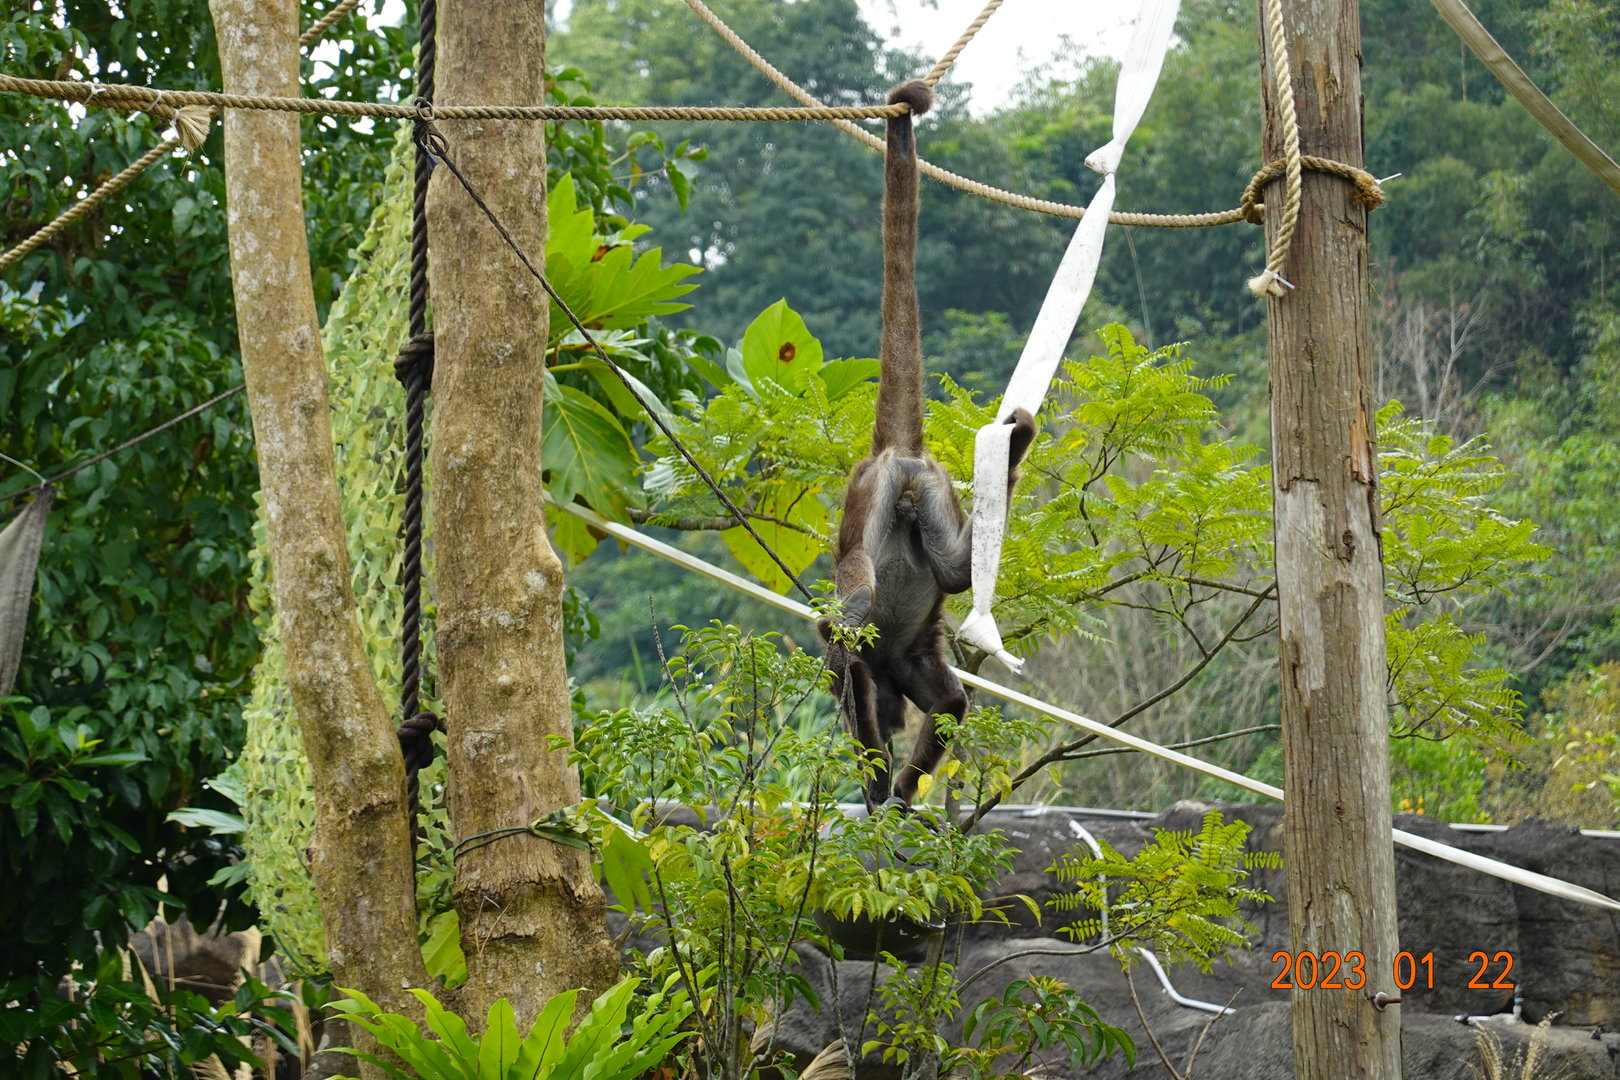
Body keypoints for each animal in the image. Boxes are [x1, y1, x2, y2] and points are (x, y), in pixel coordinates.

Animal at [820, 80, 1037, 810]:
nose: (889, 719)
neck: (890, 666)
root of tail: (896, 452)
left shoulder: (892, 662)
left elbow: (869, 679)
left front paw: (881, 785)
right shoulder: (906, 660)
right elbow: (948, 703)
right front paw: (894, 788)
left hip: (870, 494)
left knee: (855, 589)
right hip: (926, 491)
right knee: (949, 568)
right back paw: (1018, 439)